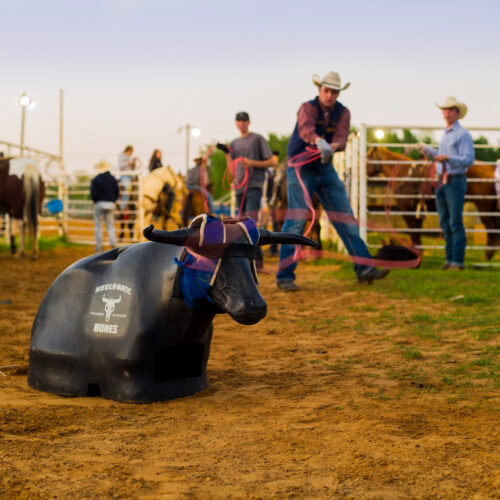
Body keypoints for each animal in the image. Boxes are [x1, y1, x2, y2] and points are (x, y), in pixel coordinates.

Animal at [366, 146, 498, 260]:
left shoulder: (406, 210)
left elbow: (413, 230)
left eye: (368, 157)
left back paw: (486, 257)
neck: (403, 175)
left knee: (491, 229)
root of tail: (491, 168)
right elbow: (417, 230)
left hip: (484, 207)